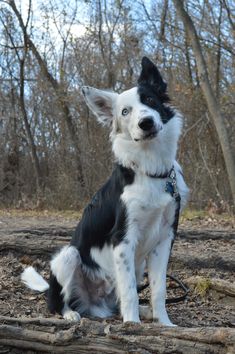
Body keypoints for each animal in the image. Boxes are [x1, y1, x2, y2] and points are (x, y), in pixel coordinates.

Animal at [21, 57, 188, 326]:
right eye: (125, 112)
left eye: (150, 100)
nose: (146, 123)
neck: (149, 168)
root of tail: (94, 303)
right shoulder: (123, 239)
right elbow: (130, 290)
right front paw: (132, 325)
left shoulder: (164, 239)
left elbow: (159, 289)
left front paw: (164, 324)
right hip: (68, 256)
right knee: (59, 302)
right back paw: (71, 313)